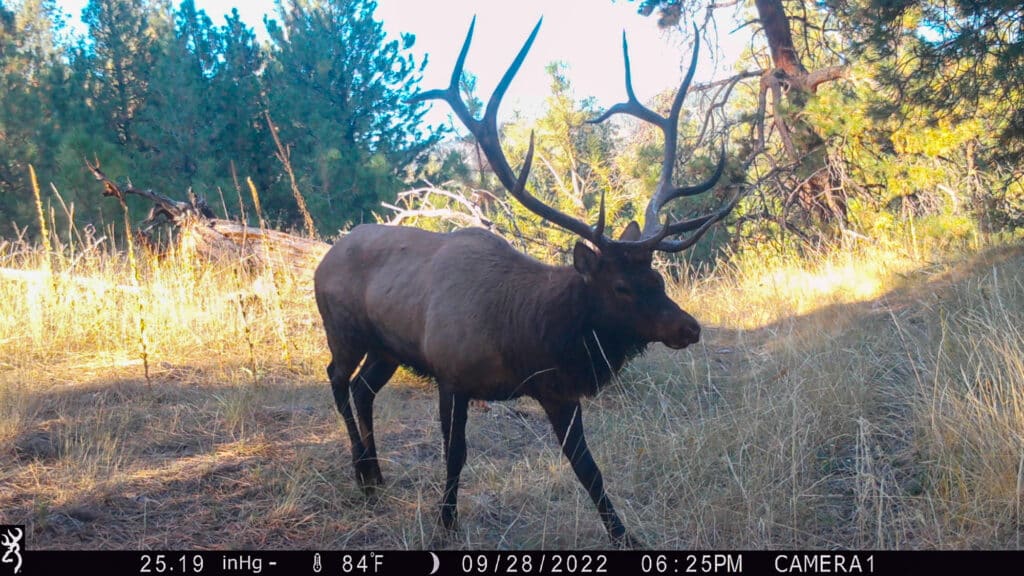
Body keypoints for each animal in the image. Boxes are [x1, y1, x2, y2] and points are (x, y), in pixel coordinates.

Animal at [313, 18, 738, 547]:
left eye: (656, 277)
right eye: (621, 287)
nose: (689, 327)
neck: (521, 338)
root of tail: (324, 258)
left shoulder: (557, 389)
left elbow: (588, 469)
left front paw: (625, 536)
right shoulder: (451, 374)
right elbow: (455, 454)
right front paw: (446, 520)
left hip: (387, 348)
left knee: (363, 389)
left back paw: (374, 472)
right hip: (344, 331)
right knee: (336, 379)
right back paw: (361, 472)